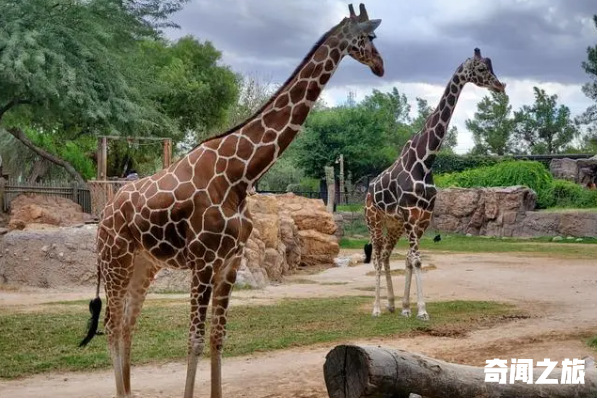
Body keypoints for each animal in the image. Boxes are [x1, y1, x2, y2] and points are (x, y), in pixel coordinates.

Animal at [79, 3, 384, 398]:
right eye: (367, 37)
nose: (380, 65)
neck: (240, 174)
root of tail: (105, 212)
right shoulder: (204, 262)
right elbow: (194, 339)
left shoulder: (230, 262)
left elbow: (218, 337)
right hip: (116, 259)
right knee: (113, 324)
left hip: (145, 263)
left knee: (128, 323)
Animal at [360, 47, 506, 320]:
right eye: (482, 68)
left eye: (492, 66)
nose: (500, 86)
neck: (426, 160)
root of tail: (367, 191)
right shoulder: (410, 214)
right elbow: (416, 259)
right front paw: (422, 310)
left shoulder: (424, 216)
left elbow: (410, 259)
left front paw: (407, 308)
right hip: (373, 219)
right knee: (375, 257)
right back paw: (376, 308)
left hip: (393, 224)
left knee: (385, 254)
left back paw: (391, 304)